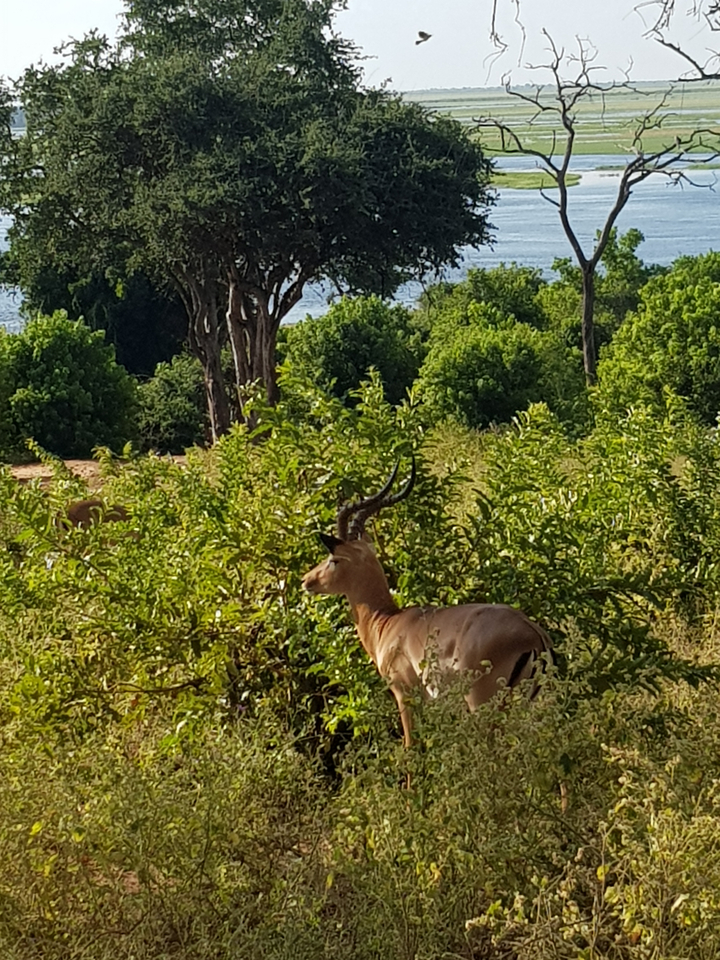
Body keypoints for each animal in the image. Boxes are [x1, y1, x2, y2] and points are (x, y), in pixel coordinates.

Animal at [302, 462, 553, 748]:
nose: (306, 580)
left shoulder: (405, 695)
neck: (387, 623)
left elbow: (411, 746)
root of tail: (532, 633)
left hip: (482, 702)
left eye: (333, 559)